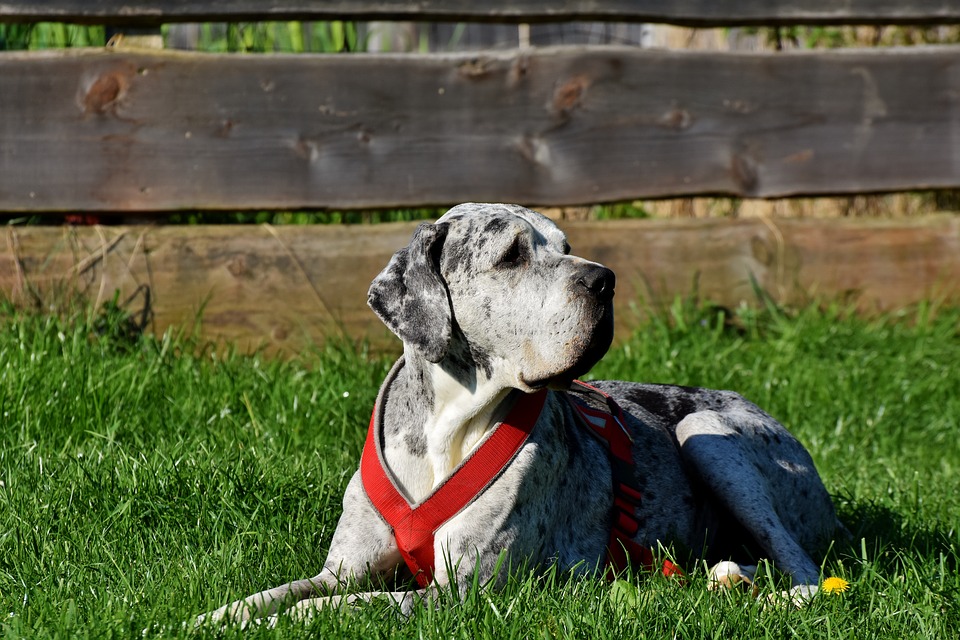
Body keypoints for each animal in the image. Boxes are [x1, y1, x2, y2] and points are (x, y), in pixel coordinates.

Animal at [197, 202, 840, 624]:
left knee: (805, 567)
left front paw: (281, 623)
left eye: (565, 247)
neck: (447, 424)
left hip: (706, 432)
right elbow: (289, 591)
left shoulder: (455, 594)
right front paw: (221, 614)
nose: (605, 280)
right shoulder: (342, 566)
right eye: (511, 256)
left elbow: (341, 606)